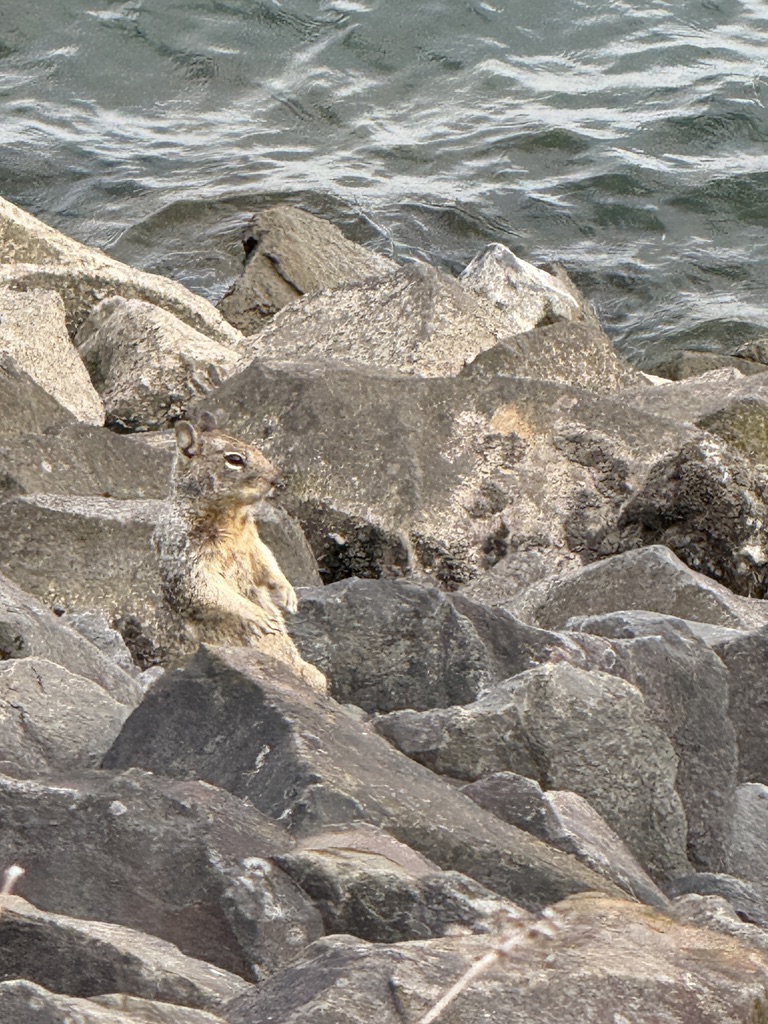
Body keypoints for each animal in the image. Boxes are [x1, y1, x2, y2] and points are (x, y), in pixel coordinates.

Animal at [153, 412, 327, 693]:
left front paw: (287, 593)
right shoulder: (185, 552)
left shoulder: (253, 542)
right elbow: (205, 588)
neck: (231, 516)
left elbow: (267, 562)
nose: (277, 479)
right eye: (234, 459)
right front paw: (258, 615)